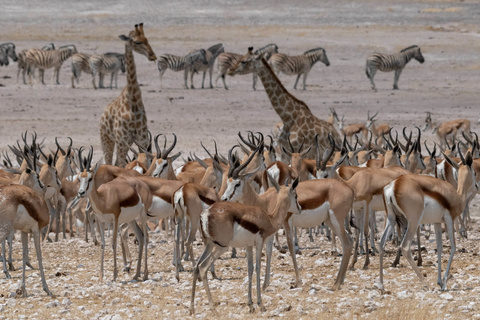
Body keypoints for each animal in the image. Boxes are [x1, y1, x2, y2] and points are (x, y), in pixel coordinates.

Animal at [100, 23, 158, 166]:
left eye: (147, 39)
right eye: (137, 42)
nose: (152, 56)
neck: (133, 101)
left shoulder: (142, 138)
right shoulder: (122, 140)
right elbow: (121, 165)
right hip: (107, 139)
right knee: (109, 161)